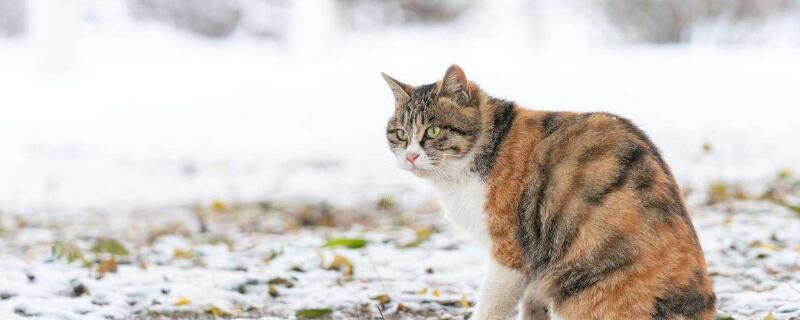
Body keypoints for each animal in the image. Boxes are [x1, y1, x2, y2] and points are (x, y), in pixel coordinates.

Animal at [384, 65, 716, 320]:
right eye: (400, 134)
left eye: (433, 131)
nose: (410, 156)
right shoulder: (534, 268)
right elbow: (532, 307)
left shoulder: (510, 254)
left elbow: (490, 307)